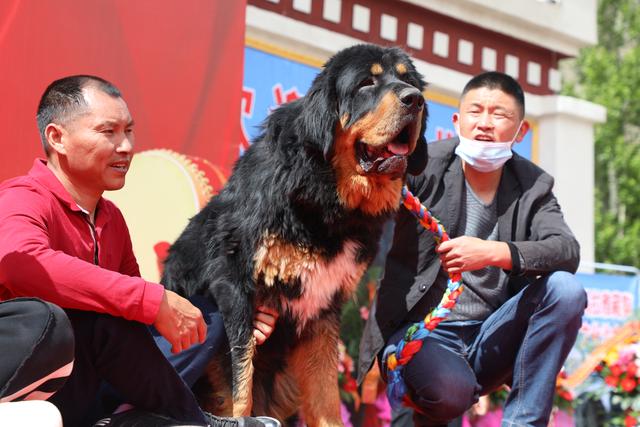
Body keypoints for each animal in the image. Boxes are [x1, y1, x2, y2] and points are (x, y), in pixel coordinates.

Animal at [162, 45, 428, 426]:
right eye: (367, 83)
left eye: (409, 81)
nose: (415, 99)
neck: (326, 194)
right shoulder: (233, 285)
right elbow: (241, 381)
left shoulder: (323, 305)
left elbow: (325, 396)